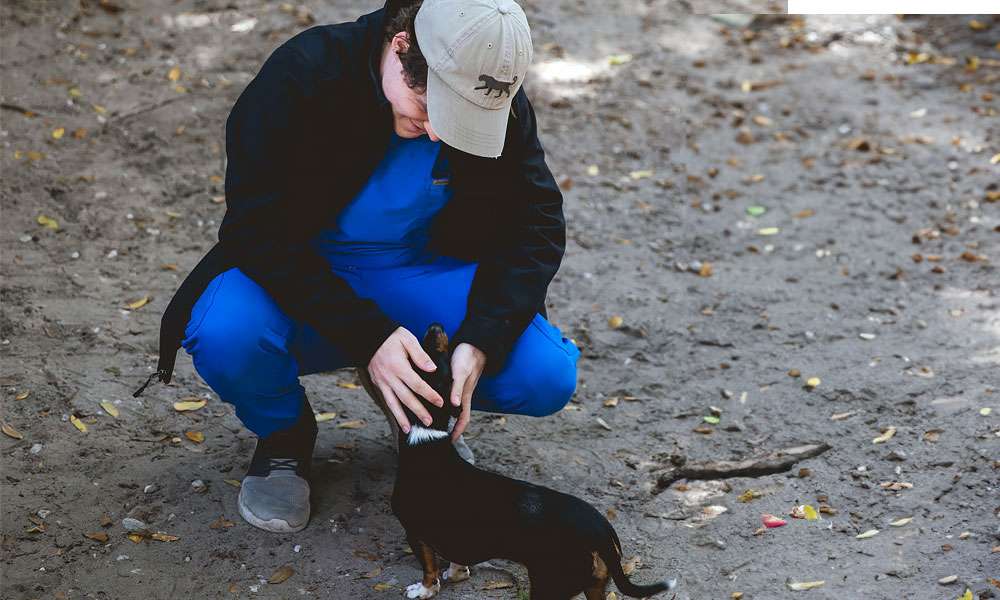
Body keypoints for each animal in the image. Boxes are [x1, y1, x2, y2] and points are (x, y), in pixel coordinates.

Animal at [386, 326, 676, 596]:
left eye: (429, 353)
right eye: (439, 355)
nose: (435, 326)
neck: (427, 432)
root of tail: (599, 530)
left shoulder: (415, 533)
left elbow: (429, 569)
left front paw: (423, 590)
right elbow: (457, 560)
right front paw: (456, 574)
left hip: (549, 585)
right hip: (594, 584)